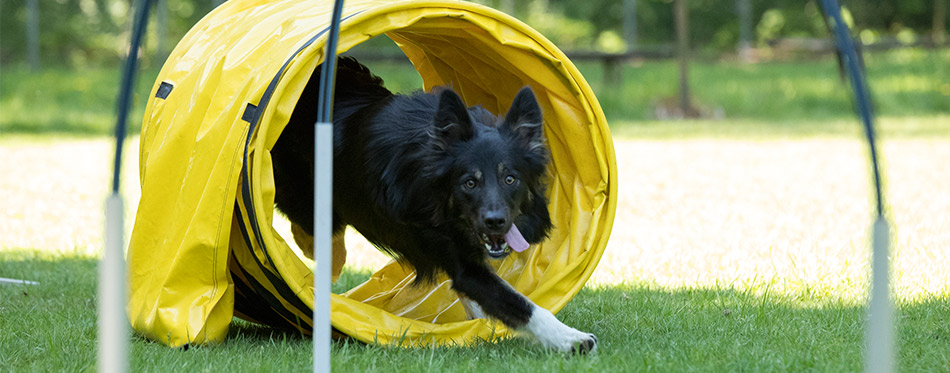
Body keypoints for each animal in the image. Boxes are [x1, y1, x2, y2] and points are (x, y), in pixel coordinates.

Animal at [270, 56, 596, 352]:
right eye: (469, 183)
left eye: (510, 179)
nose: (495, 221)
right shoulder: (455, 255)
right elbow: (520, 304)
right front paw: (571, 338)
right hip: (303, 192)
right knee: (310, 224)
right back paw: (329, 258)